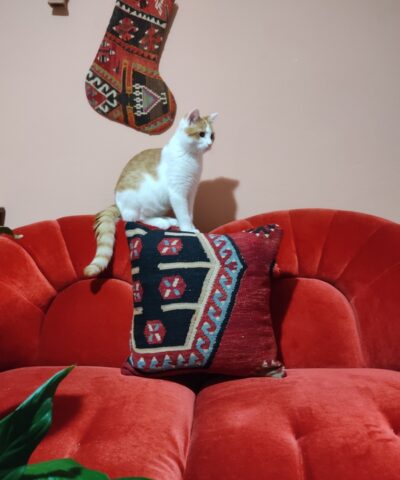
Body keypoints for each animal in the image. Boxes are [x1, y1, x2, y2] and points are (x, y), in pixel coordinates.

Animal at [84, 109, 217, 277]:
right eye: (201, 134)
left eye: (212, 136)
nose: (210, 144)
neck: (191, 158)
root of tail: (117, 203)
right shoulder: (178, 194)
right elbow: (183, 214)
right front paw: (188, 229)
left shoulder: (191, 192)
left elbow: (189, 213)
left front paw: (190, 225)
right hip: (143, 200)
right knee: (135, 218)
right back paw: (161, 222)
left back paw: (169, 220)